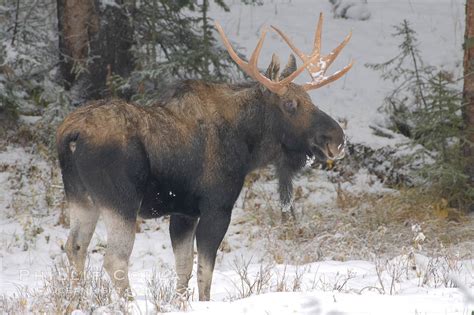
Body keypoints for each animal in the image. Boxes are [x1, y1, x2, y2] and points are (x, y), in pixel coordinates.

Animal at [56, 13, 352, 302]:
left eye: (310, 100)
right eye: (290, 104)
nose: (337, 139)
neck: (248, 147)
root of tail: (71, 133)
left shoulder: (184, 213)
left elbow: (184, 269)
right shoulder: (216, 207)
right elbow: (205, 274)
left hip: (82, 198)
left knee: (75, 246)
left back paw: (75, 300)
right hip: (121, 201)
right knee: (114, 260)